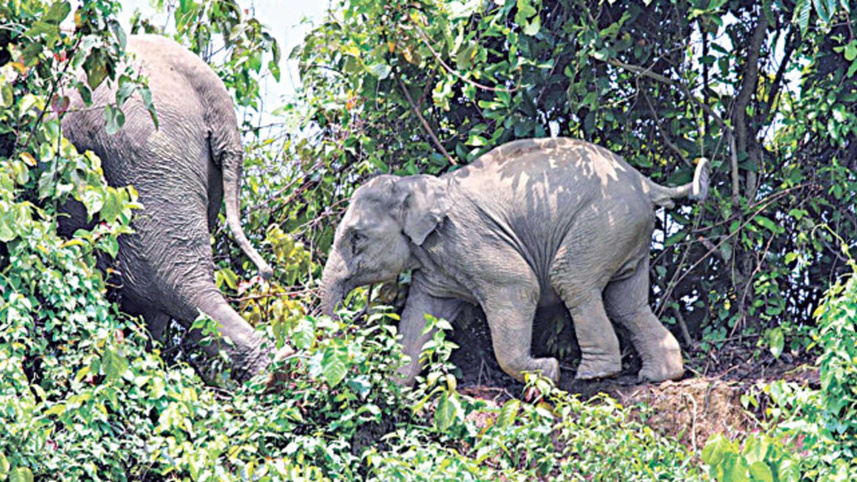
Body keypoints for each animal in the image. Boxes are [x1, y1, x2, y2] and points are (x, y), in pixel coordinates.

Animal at [320, 137, 709, 385]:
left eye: (356, 237)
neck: (415, 185)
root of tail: (645, 183)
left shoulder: (467, 239)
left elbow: (519, 285)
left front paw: (548, 371)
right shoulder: (437, 265)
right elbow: (423, 316)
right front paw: (395, 387)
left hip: (603, 221)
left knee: (573, 281)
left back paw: (594, 374)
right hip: (628, 230)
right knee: (627, 302)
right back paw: (659, 375)